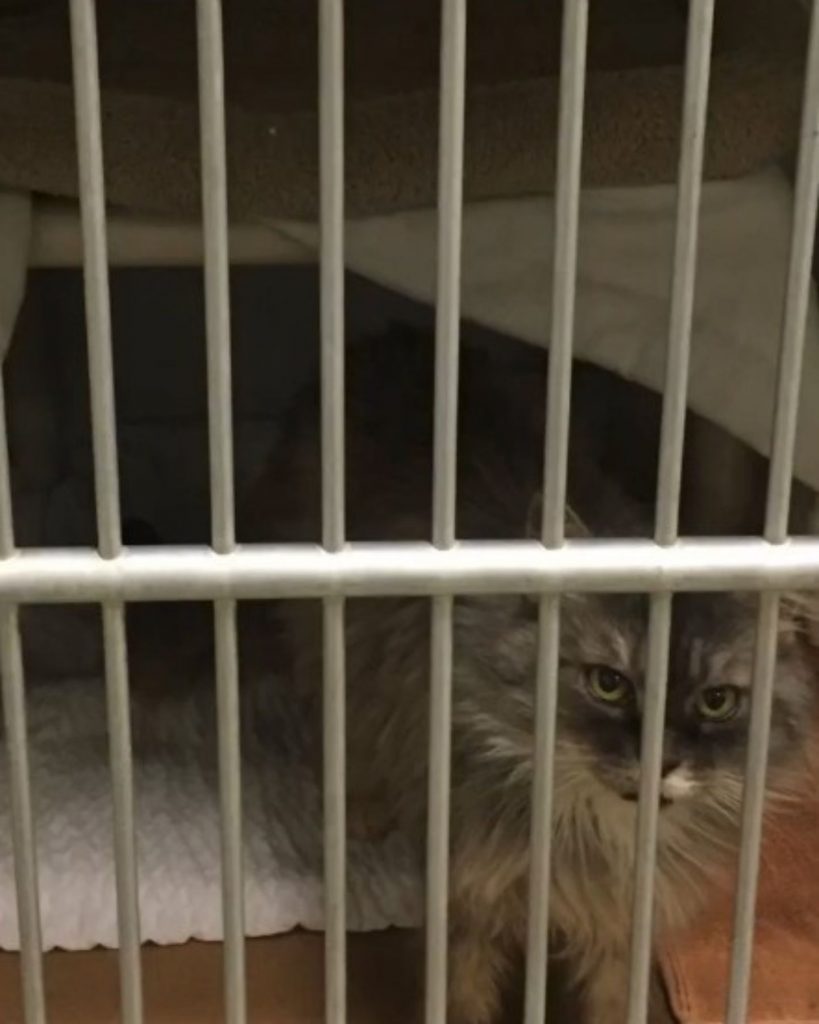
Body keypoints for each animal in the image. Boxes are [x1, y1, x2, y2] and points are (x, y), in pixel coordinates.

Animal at [235, 327, 818, 1024]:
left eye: (717, 701)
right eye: (608, 682)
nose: (661, 761)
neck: (590, 829)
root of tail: (393, 338)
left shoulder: (622, 925)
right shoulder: (466, 900)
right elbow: (461, 998)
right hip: (323, 633)